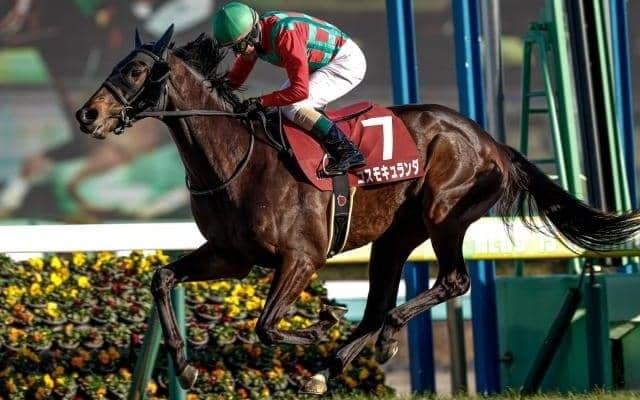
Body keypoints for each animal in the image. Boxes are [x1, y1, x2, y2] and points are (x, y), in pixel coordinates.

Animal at [74, 26, 640, 395]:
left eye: (136, 69)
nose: (87, 114)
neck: (237, 159)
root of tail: (490, 141)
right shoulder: (230, 256)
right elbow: (163, 279)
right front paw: (187, 367)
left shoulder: (301, 257)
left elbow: (265, 325)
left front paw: (321, 321)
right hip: (394, 237)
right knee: (378, 304)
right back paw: (332, 366)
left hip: (445, 212)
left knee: (451, 282)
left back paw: (380, 338)